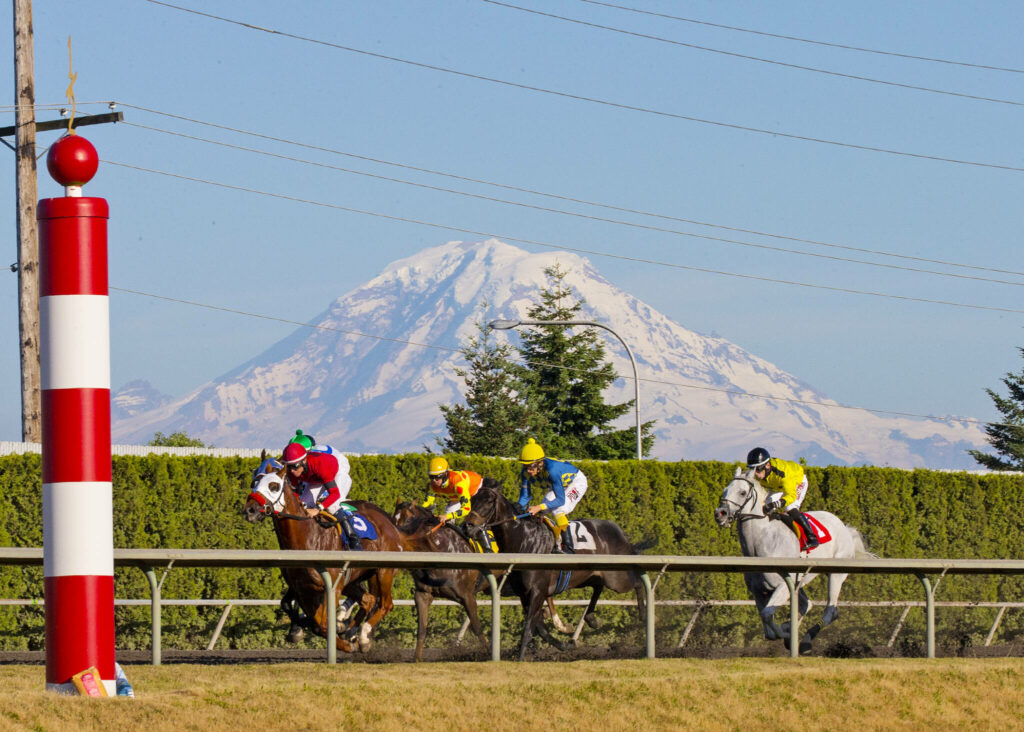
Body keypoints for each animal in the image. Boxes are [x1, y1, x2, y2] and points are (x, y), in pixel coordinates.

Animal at [240, 454, 403, 655]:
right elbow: (314, 622)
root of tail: (388, 521)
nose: (250, 510)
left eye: (274, 486)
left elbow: (323, 624)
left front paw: (343, 640)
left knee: (386, 604)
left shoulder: (332, 587)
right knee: (369, 600)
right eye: (254, 481)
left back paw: (363, 636)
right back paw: (352, 633)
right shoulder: (303, 590)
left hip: (383, 572)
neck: (308, 539)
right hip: (355, 579)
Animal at [464, 483, 647, 663]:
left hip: (617, 579)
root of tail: (619, 531)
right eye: (472, 500)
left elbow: (529, 627)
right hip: (590, 576)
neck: (525, 541)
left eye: (488, 502)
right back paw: (591, 618)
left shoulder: (538, 591)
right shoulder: (524, 594)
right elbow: (541, 629)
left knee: (638, 581)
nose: (468, 526)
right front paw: (566, 644)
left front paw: (521, 658)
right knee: (598, 587)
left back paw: (643, 614)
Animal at [712, 466, 872, 655]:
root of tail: (844, 527)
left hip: (836, 574)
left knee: (830, 611)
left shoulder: (783, 585)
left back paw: (806, 641)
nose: (720, 514)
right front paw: (787, 631)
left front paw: (788, 635)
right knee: (806, 605)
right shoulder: (758, 591)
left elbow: (767, 615)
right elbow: (768, 628)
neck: (761, 545)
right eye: (725, 490)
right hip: (800, 579)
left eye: (742, 492)